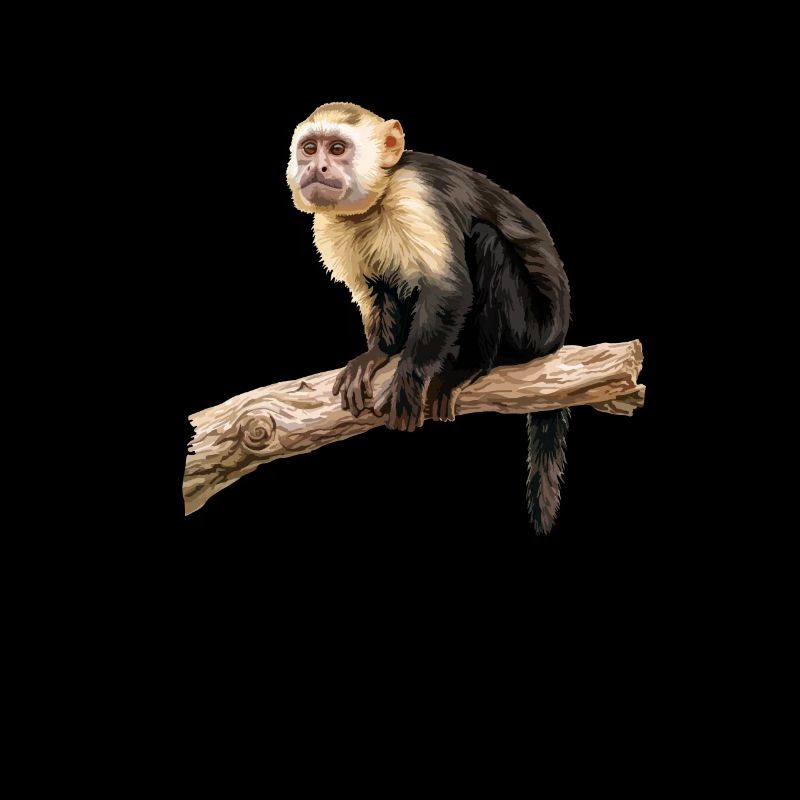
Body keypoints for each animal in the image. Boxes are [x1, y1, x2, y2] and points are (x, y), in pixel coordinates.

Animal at [286, 102, 571, 534]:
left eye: (336, 149)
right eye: (309, 148)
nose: (316, 167)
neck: (378, 197)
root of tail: (558, 337)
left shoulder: (415, 195)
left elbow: (449, 288)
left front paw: (409, 377)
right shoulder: (333, 227)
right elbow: (378, 289)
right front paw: (378, 354)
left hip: (534, 331)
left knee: (487, 243)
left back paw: (472, 365)